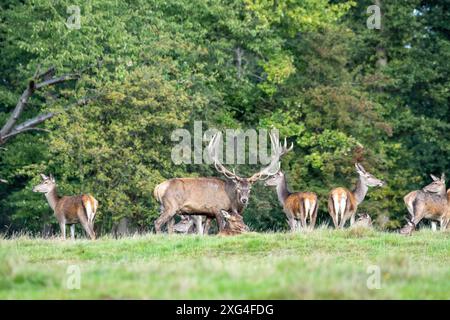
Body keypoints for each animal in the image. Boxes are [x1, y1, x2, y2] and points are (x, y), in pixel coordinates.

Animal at [153, 131, 290, 234]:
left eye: (250, 189)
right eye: (238, 188)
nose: (244, 200)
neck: (232, 202)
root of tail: (157, 188)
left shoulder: (209, 214)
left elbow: (206, 231)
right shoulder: (218, 209)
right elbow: (221, 228)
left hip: (166, 208)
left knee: (169, 226)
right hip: (170, 205)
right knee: (157, 222)